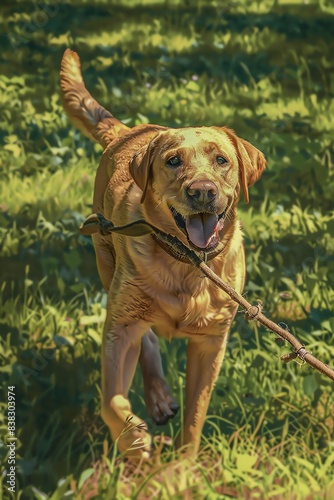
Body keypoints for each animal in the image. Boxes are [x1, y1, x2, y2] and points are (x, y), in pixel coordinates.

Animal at [60, 48, 266, 458]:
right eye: (173, 161)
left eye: (221, 160)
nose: (202, 192)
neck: (187, 264)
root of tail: (127, 133)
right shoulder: (119, 329)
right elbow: (111, 400)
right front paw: (132, 439)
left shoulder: (210, 343)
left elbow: (195, 416)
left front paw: (184, 466)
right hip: (112, 273)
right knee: (147, 340)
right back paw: (155, 400)